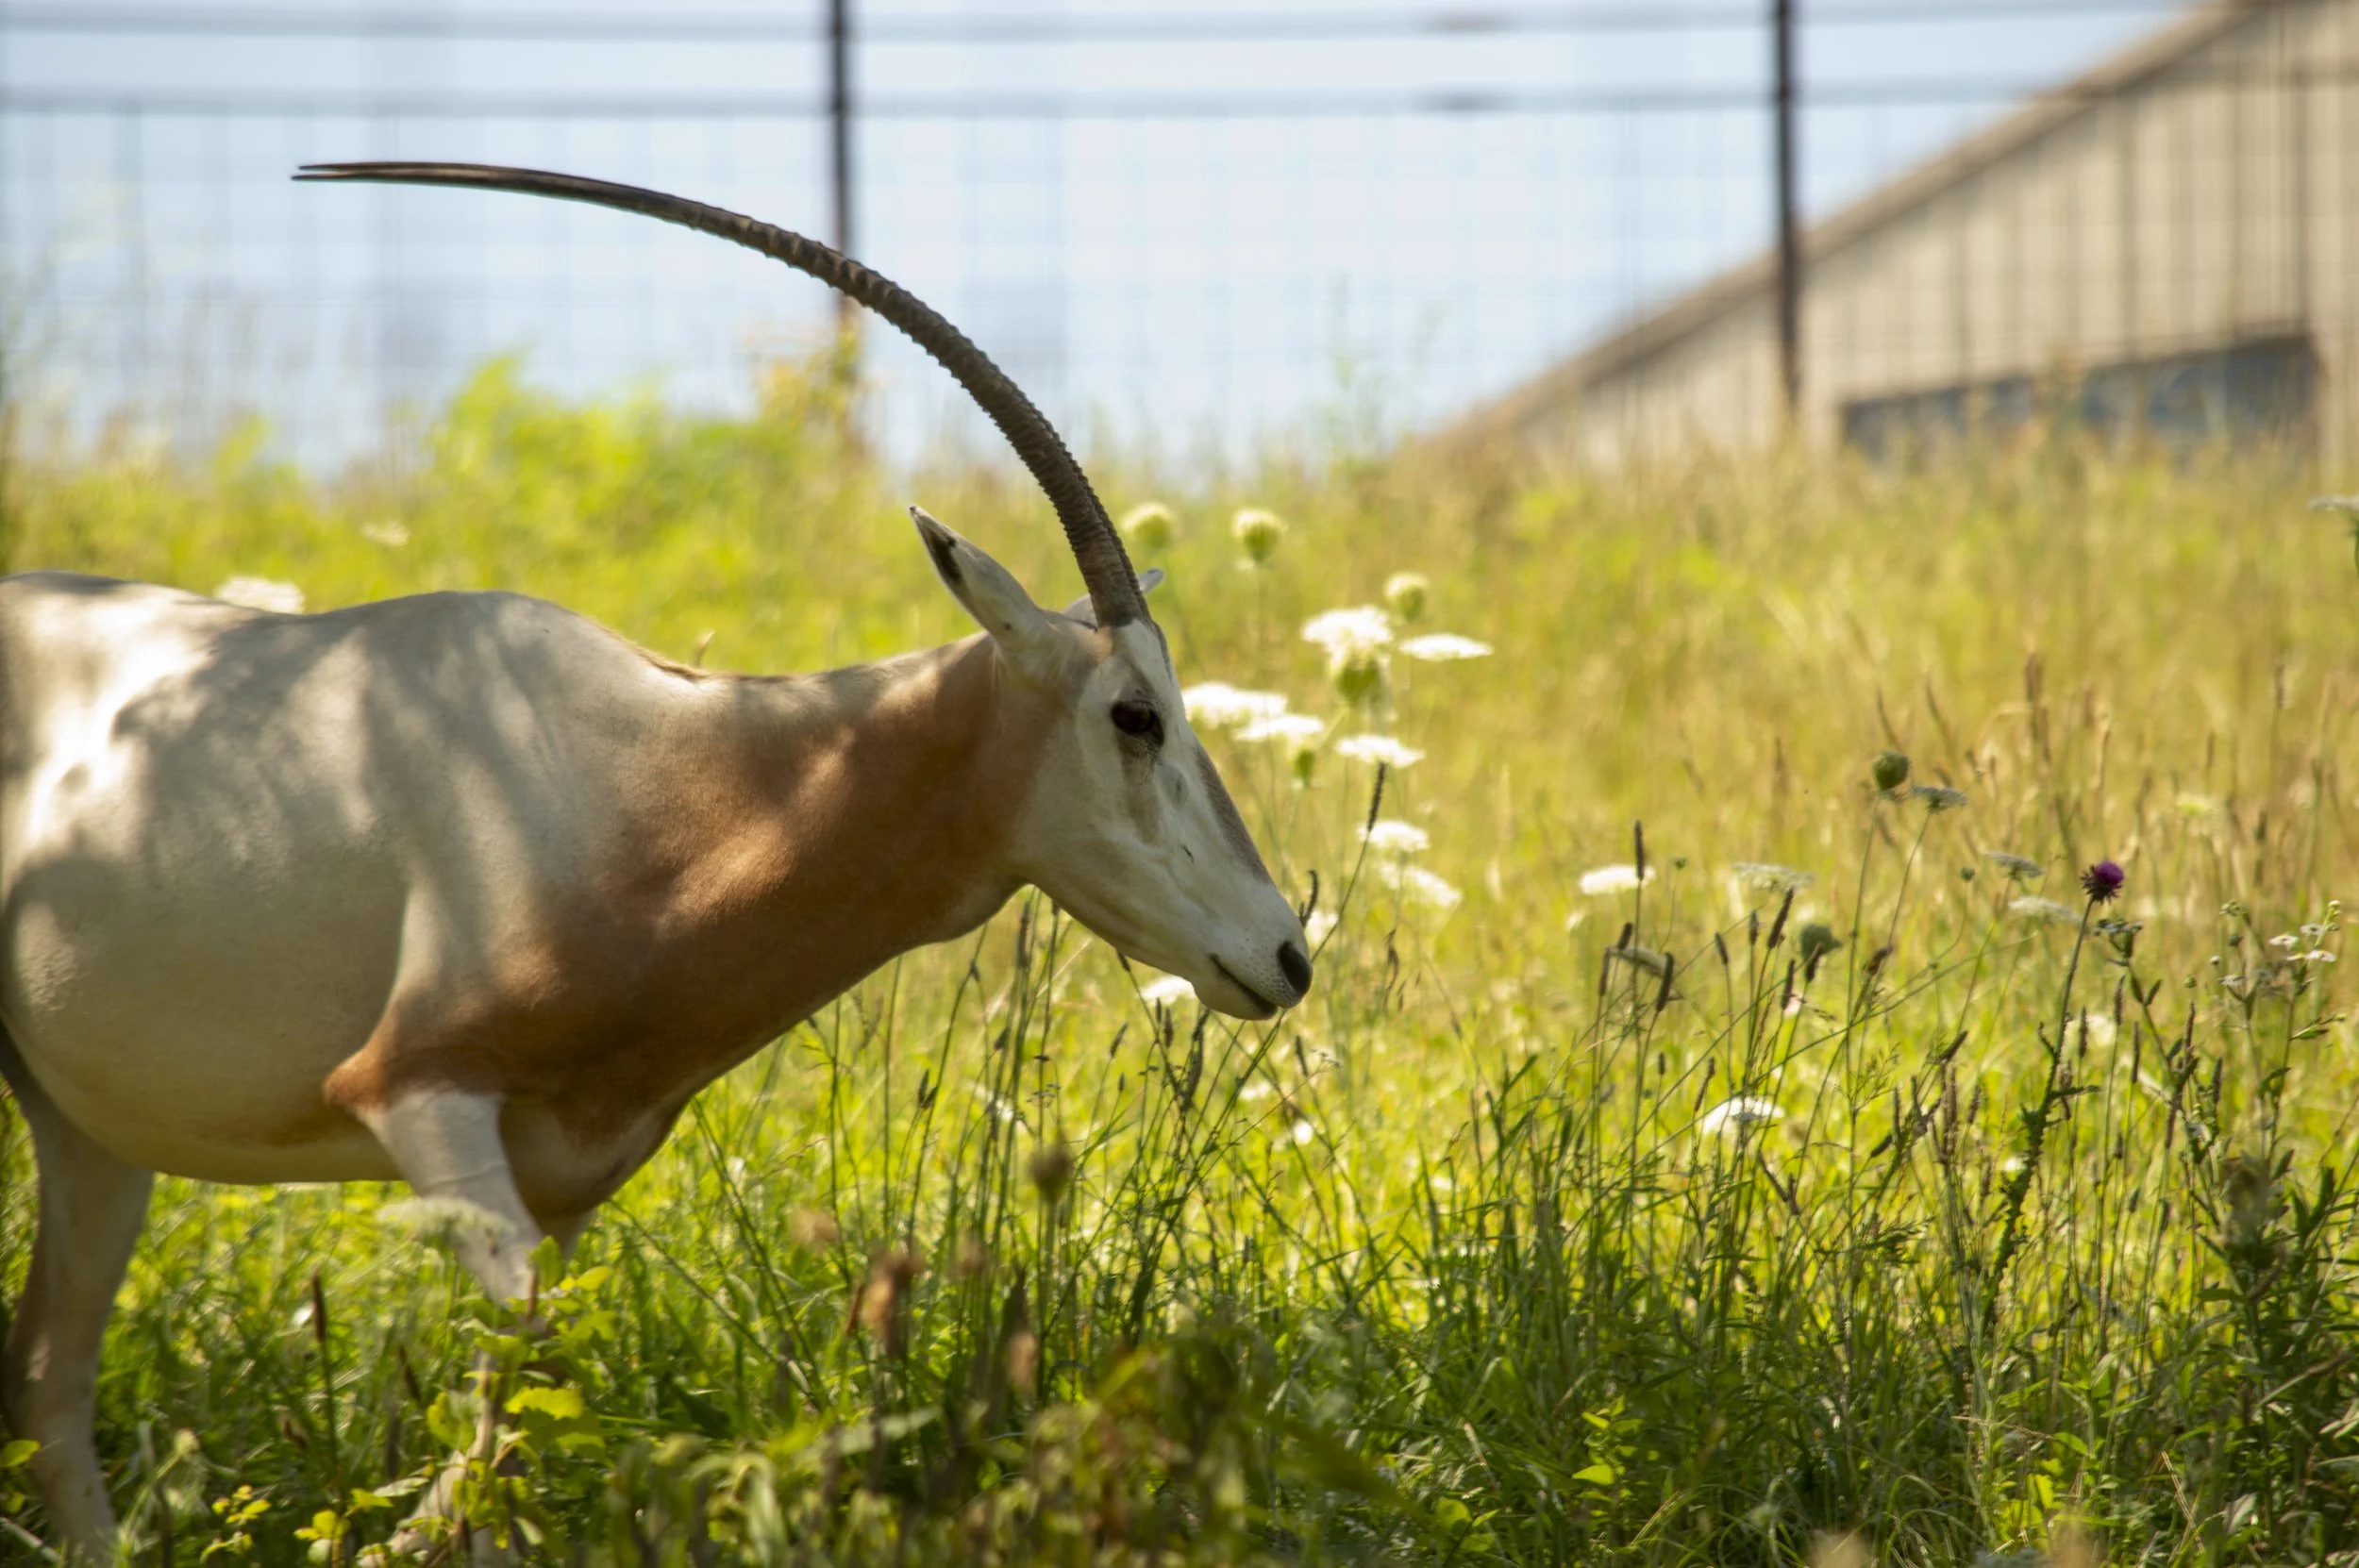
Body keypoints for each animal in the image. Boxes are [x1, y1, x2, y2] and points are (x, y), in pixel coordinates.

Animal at [0, 163, 1313, 1557]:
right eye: (1135, 714)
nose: (1285, 955)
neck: (659, 780)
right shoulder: (415, 1089)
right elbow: (522, 1358)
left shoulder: (566, 1182)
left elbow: (522, 1385)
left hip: (90, 1136)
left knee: (46, 1371)